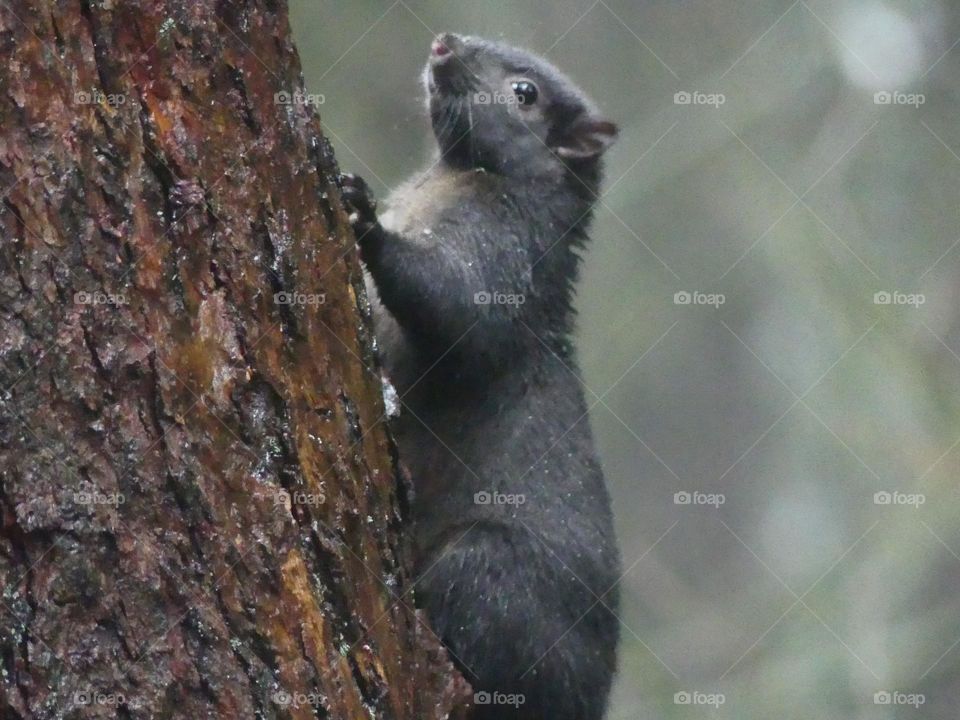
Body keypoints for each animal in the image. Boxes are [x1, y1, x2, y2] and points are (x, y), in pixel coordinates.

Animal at [341, 32, 620, 720]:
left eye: (525, 94)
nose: (443, 43)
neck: (462, 173)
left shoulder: (503, 257)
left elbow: (456, 311)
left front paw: (365, 222)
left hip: (488, 574)